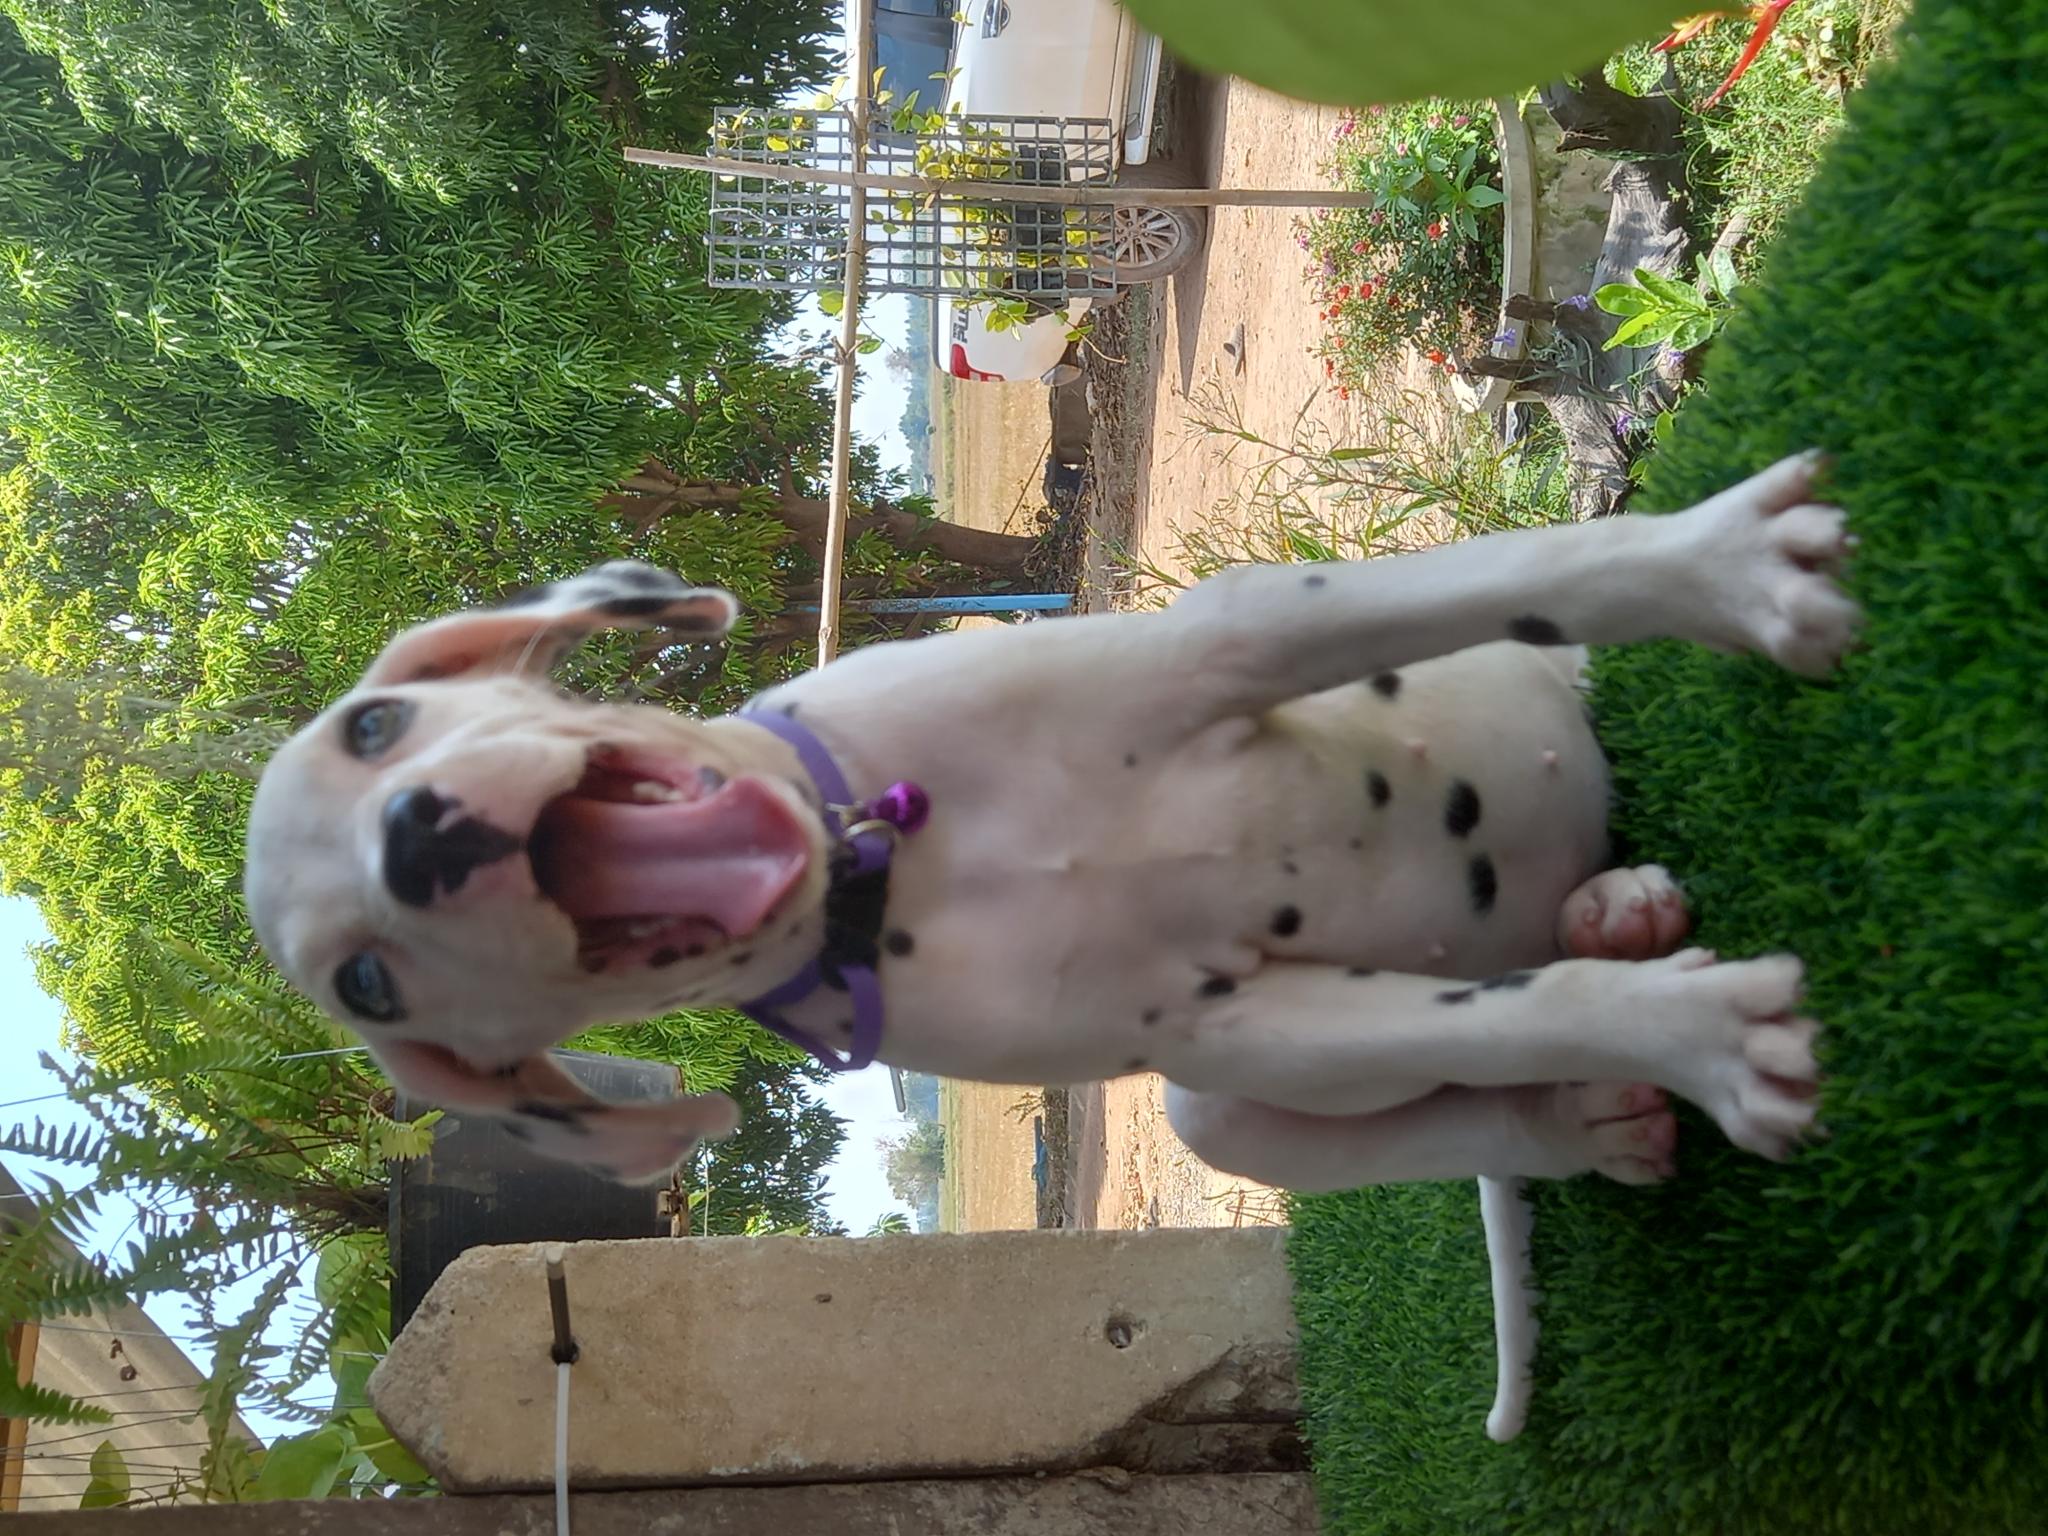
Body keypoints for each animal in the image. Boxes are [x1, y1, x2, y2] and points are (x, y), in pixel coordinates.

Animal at [245, 451, 1857, 1439]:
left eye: (375, 727)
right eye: (363, 980)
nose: (419, 841)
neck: (897, 869)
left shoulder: (1230, 635)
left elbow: (1546, 567)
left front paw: (1725, 567)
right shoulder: (1224, 1025)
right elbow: (1527, 1019)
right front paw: (1700, 1041)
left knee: (1539, 670)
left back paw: (1614, 892)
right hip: (1231, 1110)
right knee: (1482, 1081)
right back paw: (1594, 1073)